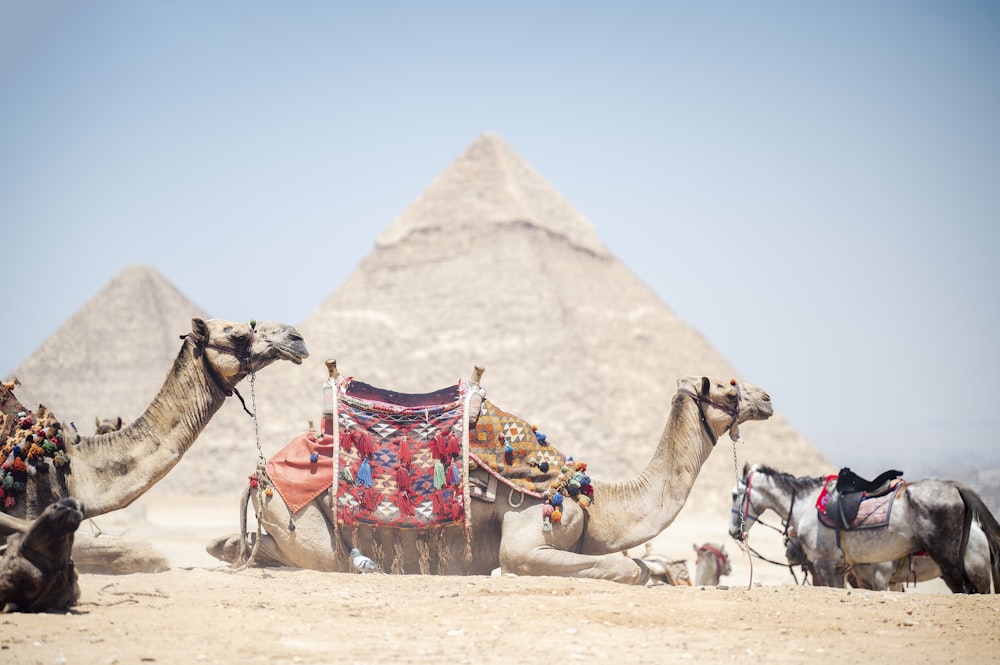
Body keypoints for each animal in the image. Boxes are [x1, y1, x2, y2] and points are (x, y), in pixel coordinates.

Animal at [209, 366, 772, 584]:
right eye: (728, 387)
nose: (766, 397)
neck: (588, 496)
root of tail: (260, 475)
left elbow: (635, 566)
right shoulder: (527, 535)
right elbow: (625, 568)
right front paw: (501, 574)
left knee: (246, 547)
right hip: (301, 514)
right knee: (322, 558)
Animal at [728, 462, 1000, 592]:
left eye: (734, 495)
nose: (733, 531)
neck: (807, 504)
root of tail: (955, 487)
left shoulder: (826, 565)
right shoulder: (842, 570)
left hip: (953, 562)